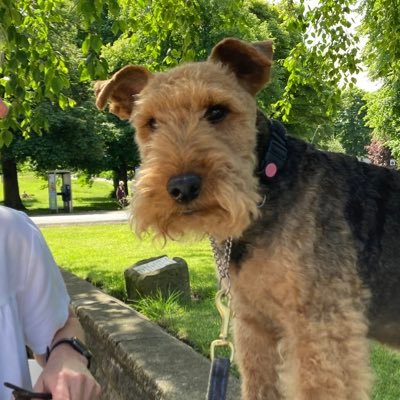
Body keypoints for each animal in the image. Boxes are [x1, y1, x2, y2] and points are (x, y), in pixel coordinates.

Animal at [94, 37, 400, 400]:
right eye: (151, 123)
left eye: (217, 110)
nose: (182, 187)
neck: (269, 180)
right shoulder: (254, 325)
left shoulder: (320, 329)